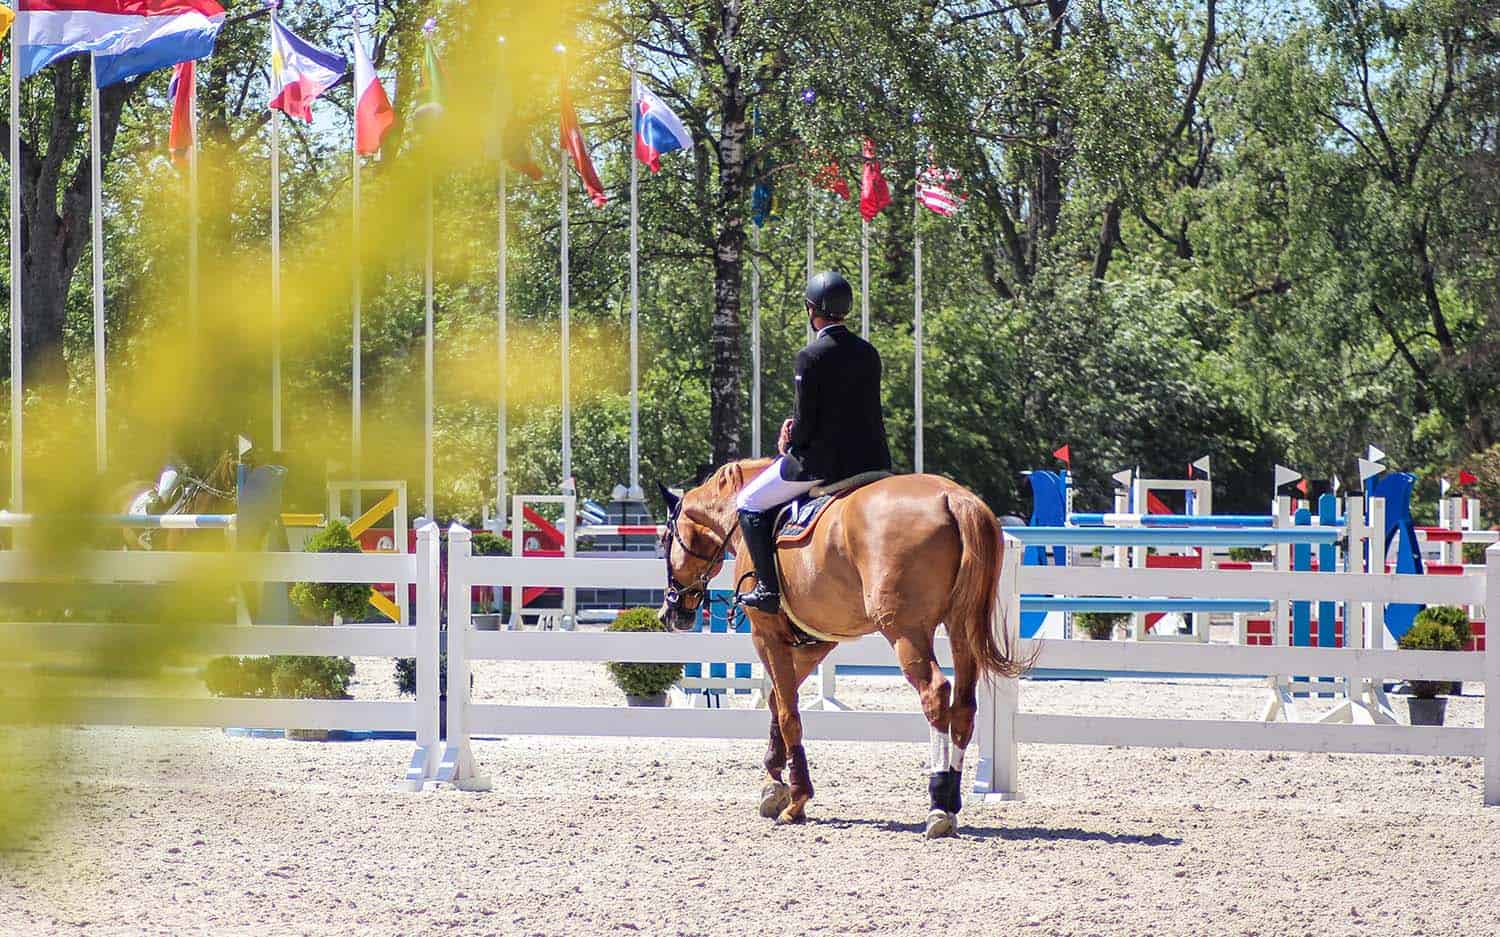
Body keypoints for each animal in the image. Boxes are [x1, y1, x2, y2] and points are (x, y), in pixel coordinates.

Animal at [657, 458, 1030, 838]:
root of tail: (952, 497)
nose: (672, 612)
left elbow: (788, 712)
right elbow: (778, 701)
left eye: (665, 539)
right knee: (965, 707)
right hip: (960, 628)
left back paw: (938, 805)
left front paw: (796, 800)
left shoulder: (767, 635)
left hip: (905, 631)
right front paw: (774, 784)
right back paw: (951, 799)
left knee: (935, 694)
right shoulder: (816, 641)